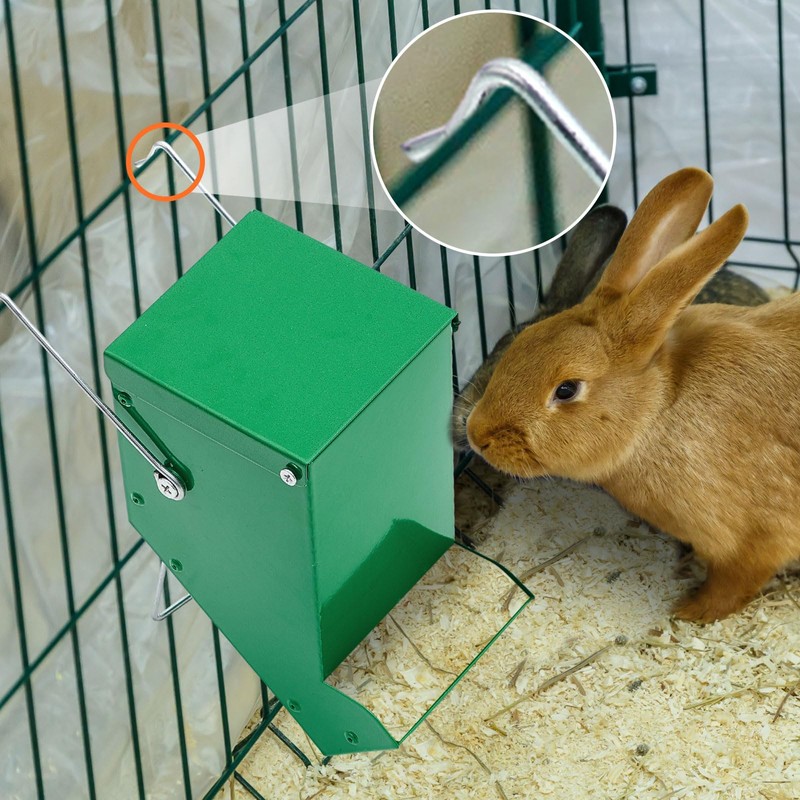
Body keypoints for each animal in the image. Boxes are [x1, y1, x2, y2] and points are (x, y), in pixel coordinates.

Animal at [465, 166, 800, 622]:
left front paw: (688, 611)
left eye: (566, 390)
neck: (658, 409)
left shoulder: (756, 537)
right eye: (517, 344)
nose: (475, 434)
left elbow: (734, 583)